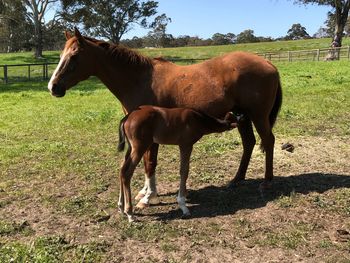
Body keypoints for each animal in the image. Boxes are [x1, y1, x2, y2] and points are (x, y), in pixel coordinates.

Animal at [47, 28, 282, 210]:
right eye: (61, 54)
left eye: (74, 56)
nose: (53, 87)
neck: (139, 78)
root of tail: (269, 64)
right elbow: (145, 163)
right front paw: (144, 192)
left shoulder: (150, 135)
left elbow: (150, 163)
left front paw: (148, 197)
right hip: (242, 116)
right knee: (249, 143)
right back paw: (236, 180)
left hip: (258, 116)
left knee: (268, 141)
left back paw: (267, 182)